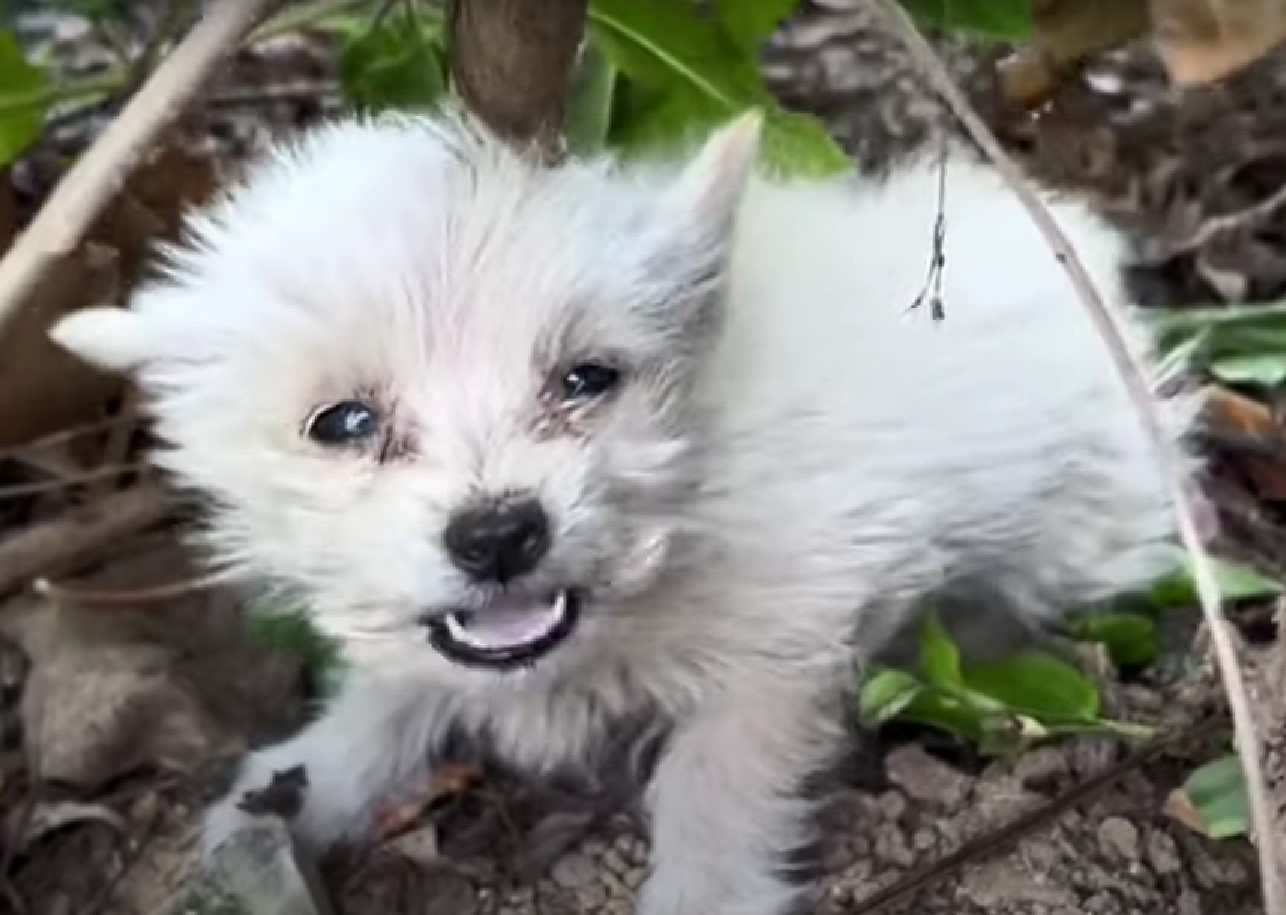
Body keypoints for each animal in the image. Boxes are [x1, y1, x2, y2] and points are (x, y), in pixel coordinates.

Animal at [50, 109, 1193, 915]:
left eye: (587, 379)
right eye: (343, 422)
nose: (499, 535)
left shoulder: (783, 645)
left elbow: (709, 786)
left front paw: (707, 895)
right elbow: (390, 698)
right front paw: (291, 784)